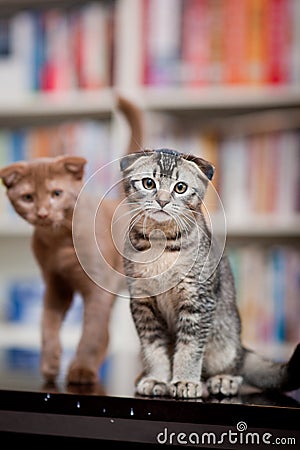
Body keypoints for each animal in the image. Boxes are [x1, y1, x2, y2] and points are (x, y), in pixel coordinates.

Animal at [120, 148, 300, 398]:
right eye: (148, 183)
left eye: (180, 188)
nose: (162, 201)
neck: (160, 244)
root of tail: (242, 347)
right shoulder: (142, 302)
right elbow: (153, 348)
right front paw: (157, 378)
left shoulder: (198, 300)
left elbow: (190, 348)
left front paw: (185, 381)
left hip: (224, 340)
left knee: (234, 367)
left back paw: (224, 379)